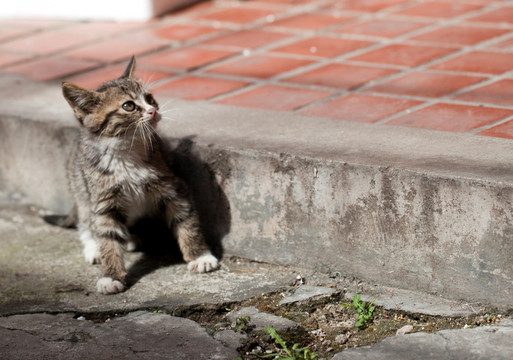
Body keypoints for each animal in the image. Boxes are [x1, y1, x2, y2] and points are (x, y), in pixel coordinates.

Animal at [58, 55, 218, 292]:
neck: (126, 150)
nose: (153, 111)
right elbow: (107, 235)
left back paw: (130, 238)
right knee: (86, 221)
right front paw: (111, 275)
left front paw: (200, 256)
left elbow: (187, 221)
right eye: (129, 106)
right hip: (80, 187)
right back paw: (93, 247)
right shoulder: (103, 200)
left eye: (149, 98)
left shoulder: (173, 187)